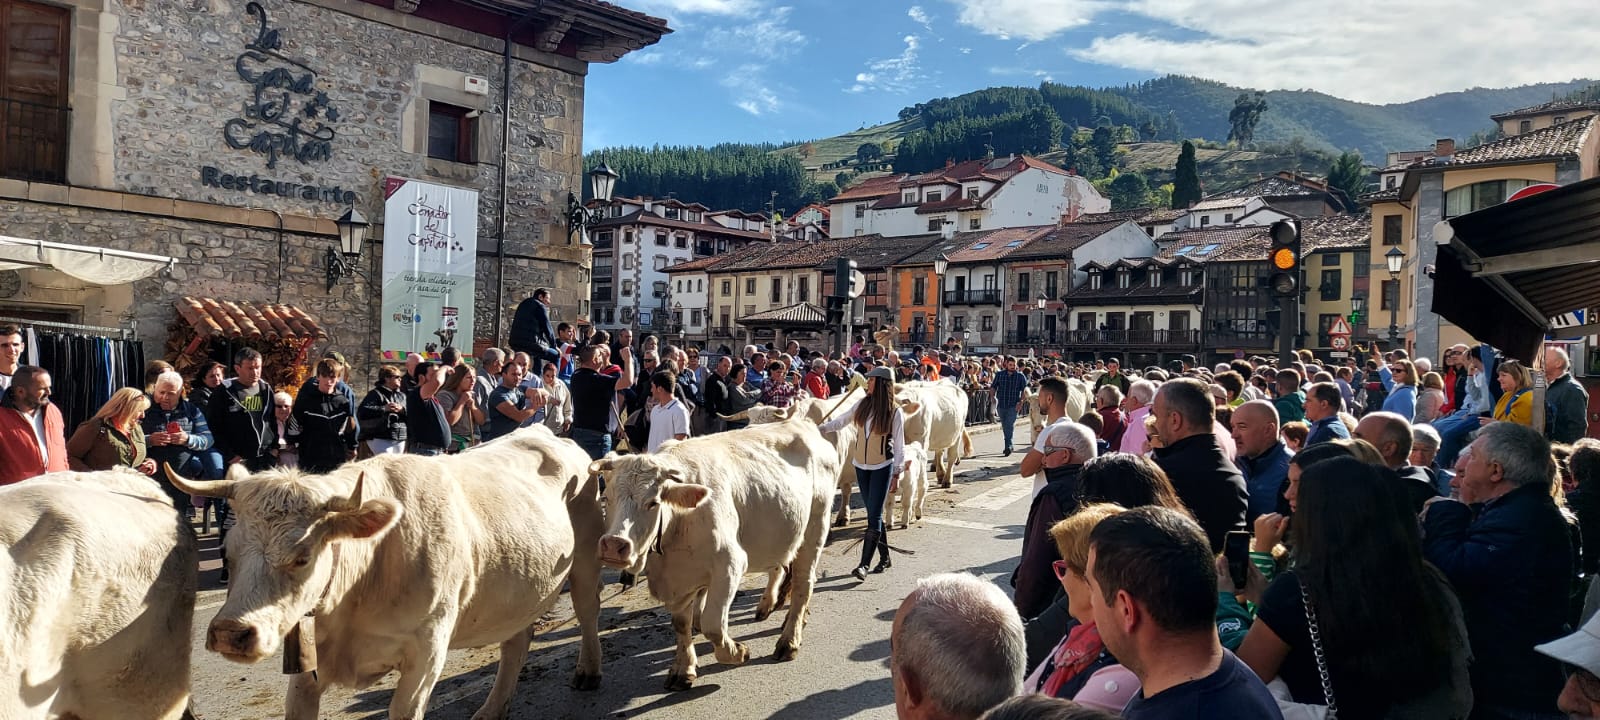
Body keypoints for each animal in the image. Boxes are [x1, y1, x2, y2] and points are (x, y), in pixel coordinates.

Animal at [170, 425, 604, 720]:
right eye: (228, 553)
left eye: (302, 556)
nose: (231, 633)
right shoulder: (308, 670)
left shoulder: (427, 654)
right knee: (516, 642)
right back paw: (492, 709)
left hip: (585, 559)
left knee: (588, 612)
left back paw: (588, 670)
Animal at [592, 416, 838, 691]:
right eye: (606, 497)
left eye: (653, 503)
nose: (614, 544)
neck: (680, 522)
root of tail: (804, 423)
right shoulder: (680, 580)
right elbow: (681, 624)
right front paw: (683, 670)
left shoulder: (729, 565)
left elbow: (712, 625)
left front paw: (737, 652)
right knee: (784, 570)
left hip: (816, 527)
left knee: (803, 583)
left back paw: (789, 641)